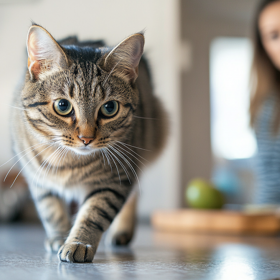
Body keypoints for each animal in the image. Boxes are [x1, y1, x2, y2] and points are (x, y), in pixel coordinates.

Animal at [10, 24, 167, 262]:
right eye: (63, 105)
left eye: (110, 108)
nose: (86, 138)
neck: (68, 161)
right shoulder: (37, 179)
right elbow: (51, 211)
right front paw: (59, 238)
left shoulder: (116, 178)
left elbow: (94, 214)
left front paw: (78, 243)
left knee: (135, 194)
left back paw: (122, 231)